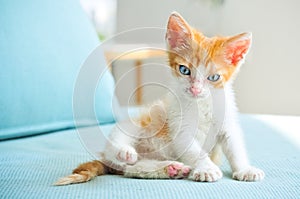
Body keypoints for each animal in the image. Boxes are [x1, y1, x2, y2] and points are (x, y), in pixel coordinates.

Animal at [54, 12, 264, 186]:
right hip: (138, 122)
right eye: (184, 70)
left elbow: (235, 146)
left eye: (213, 77)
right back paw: (125, 152)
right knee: (121, 148)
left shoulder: (228, 124)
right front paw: (207, 168)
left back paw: (170, 168)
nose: (195, 89)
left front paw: (245, 169)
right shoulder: (180, 128)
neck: (202, 104)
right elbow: (193, 149)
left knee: (134, 169)